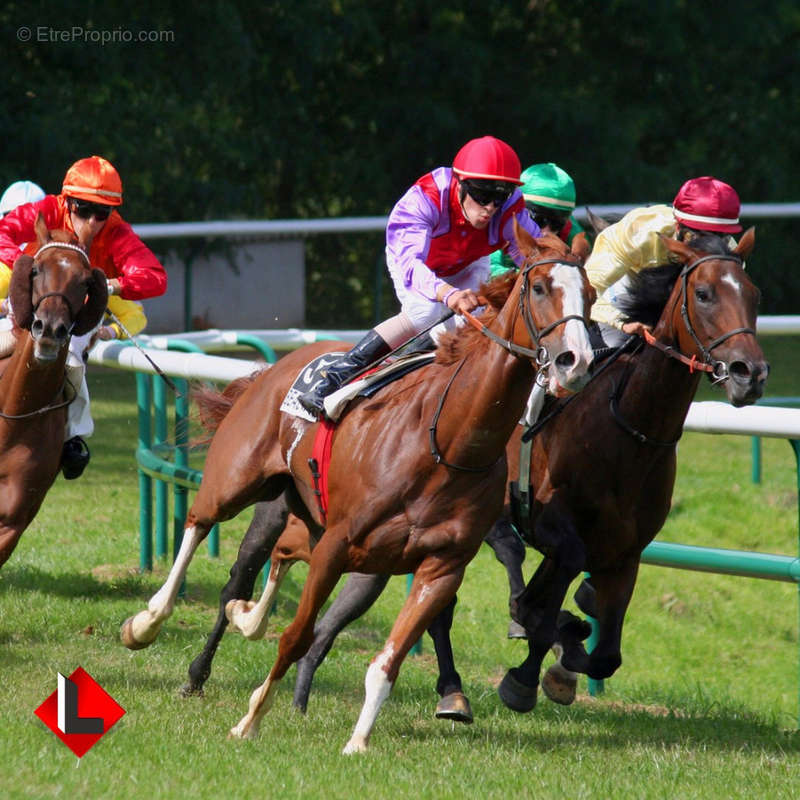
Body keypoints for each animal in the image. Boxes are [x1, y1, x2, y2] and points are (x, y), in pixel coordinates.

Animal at [119, 228, 592, 752]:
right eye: (540, 288)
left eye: (591, 296)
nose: (576, 362)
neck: (448, 441)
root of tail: (272, 370)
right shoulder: (339, 544)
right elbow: (297, 636)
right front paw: (250, 720)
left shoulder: (441, 567)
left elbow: (387, 662)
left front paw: (358, 742)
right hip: (236, 482)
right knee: (199, 526)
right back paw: (147, 623)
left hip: (307, 514)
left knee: (276, 556)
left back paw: (245, 616)